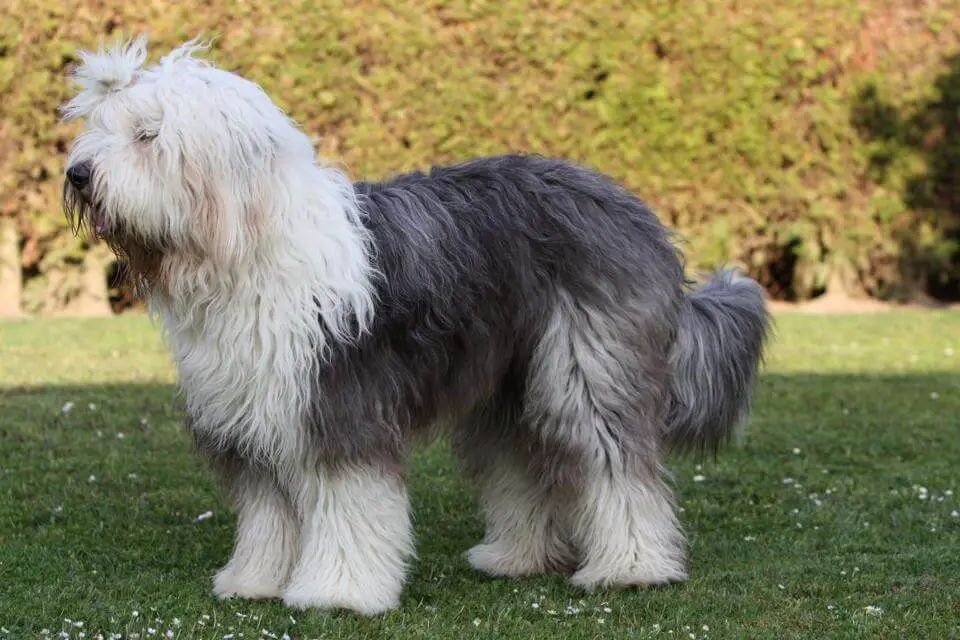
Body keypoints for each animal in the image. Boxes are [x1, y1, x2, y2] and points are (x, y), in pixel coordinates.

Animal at [62, 37, 772, 616]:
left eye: (148, 136)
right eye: (101, 130)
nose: (77, 174)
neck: (244, 248)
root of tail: (635, 211)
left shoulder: (340, 406)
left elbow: (348, 507)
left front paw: (338, 593)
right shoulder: (250, 415)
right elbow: (267, 512)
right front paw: (254, 581)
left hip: (588, 366)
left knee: (615, 463)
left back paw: (631, 568)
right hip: (508, 382)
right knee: (521, 463)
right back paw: (515, 557)